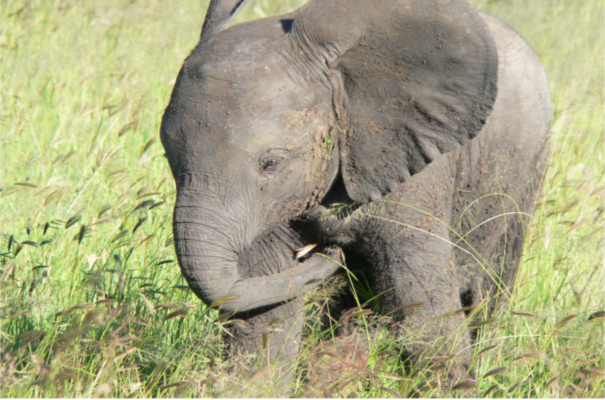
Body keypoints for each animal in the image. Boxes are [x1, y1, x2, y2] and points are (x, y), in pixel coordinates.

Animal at [158, 0, 548, 386]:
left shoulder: (415, 166)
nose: (324, 244)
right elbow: (262, 309)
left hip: (524, 174)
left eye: (271, 163)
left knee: (489, 292)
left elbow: (423, 311)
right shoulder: (271, 204)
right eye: (167, 156)